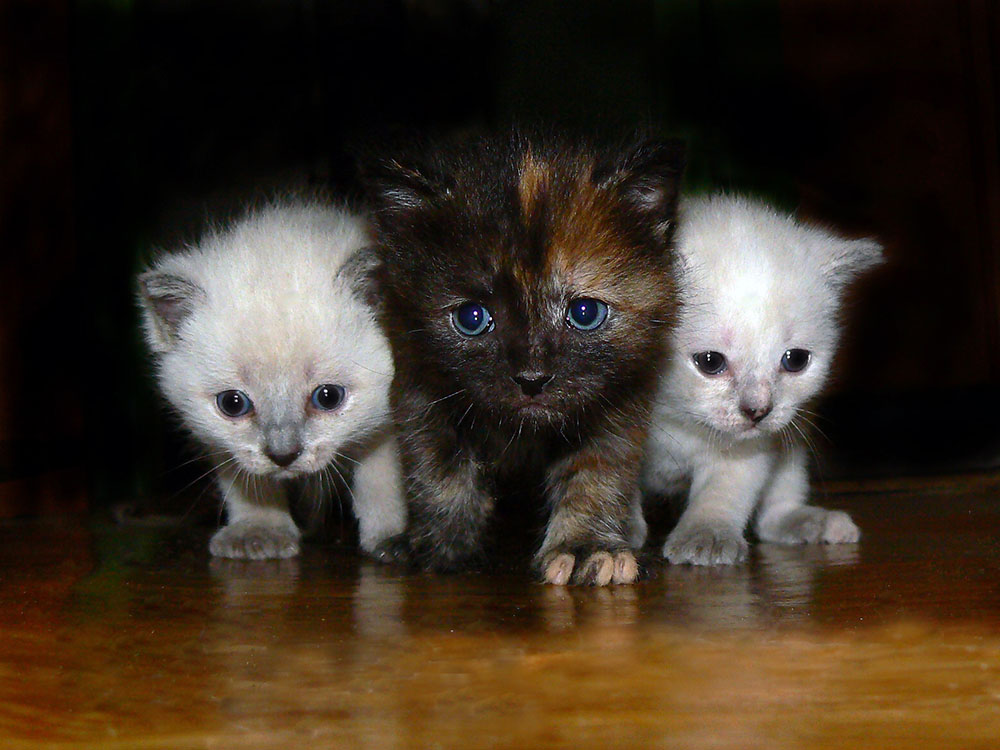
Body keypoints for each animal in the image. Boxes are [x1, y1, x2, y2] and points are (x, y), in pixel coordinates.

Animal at [137, 203, 406, 560]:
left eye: (328, 397)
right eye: (232, 403)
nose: (283, 454)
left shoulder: (391, 419)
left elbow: (382, 478)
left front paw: (394, 535)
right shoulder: (223, 442)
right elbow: (248, 482)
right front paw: (258, 531)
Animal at [368, 129, 688, 588]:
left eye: (585, 313)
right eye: (471, 318)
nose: (532, 378)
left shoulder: (619, 398)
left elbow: (596, 474)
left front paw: (586, 545)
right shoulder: (421, 384)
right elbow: (437, 471)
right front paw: (442, 545)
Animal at [640, 197, 884, 568]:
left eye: (795, 360)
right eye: (710, 362)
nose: (758, 410)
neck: (676, 420)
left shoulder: (750, 449)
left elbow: (723, 491)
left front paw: (706, 535)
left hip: (794, 434)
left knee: (774, 512)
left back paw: (812, 522)